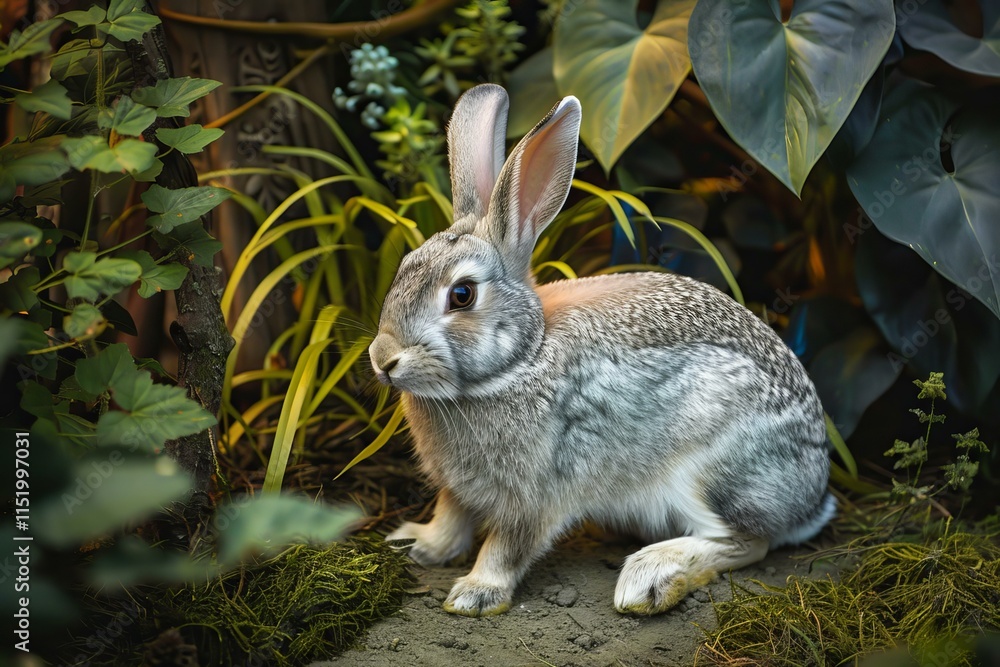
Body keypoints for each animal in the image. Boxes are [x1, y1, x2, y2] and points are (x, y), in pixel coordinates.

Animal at [368, 83, 834, 617]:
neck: (521, 359)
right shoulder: (457, 488)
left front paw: (474, 594)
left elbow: (508, 546)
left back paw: (649, 579)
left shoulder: (539, 493)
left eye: (462, 295)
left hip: (713, 470)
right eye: (405, 265)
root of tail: (812, 496)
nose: (383, 359)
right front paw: (417, 544)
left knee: (746, 542)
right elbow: (450, 520)